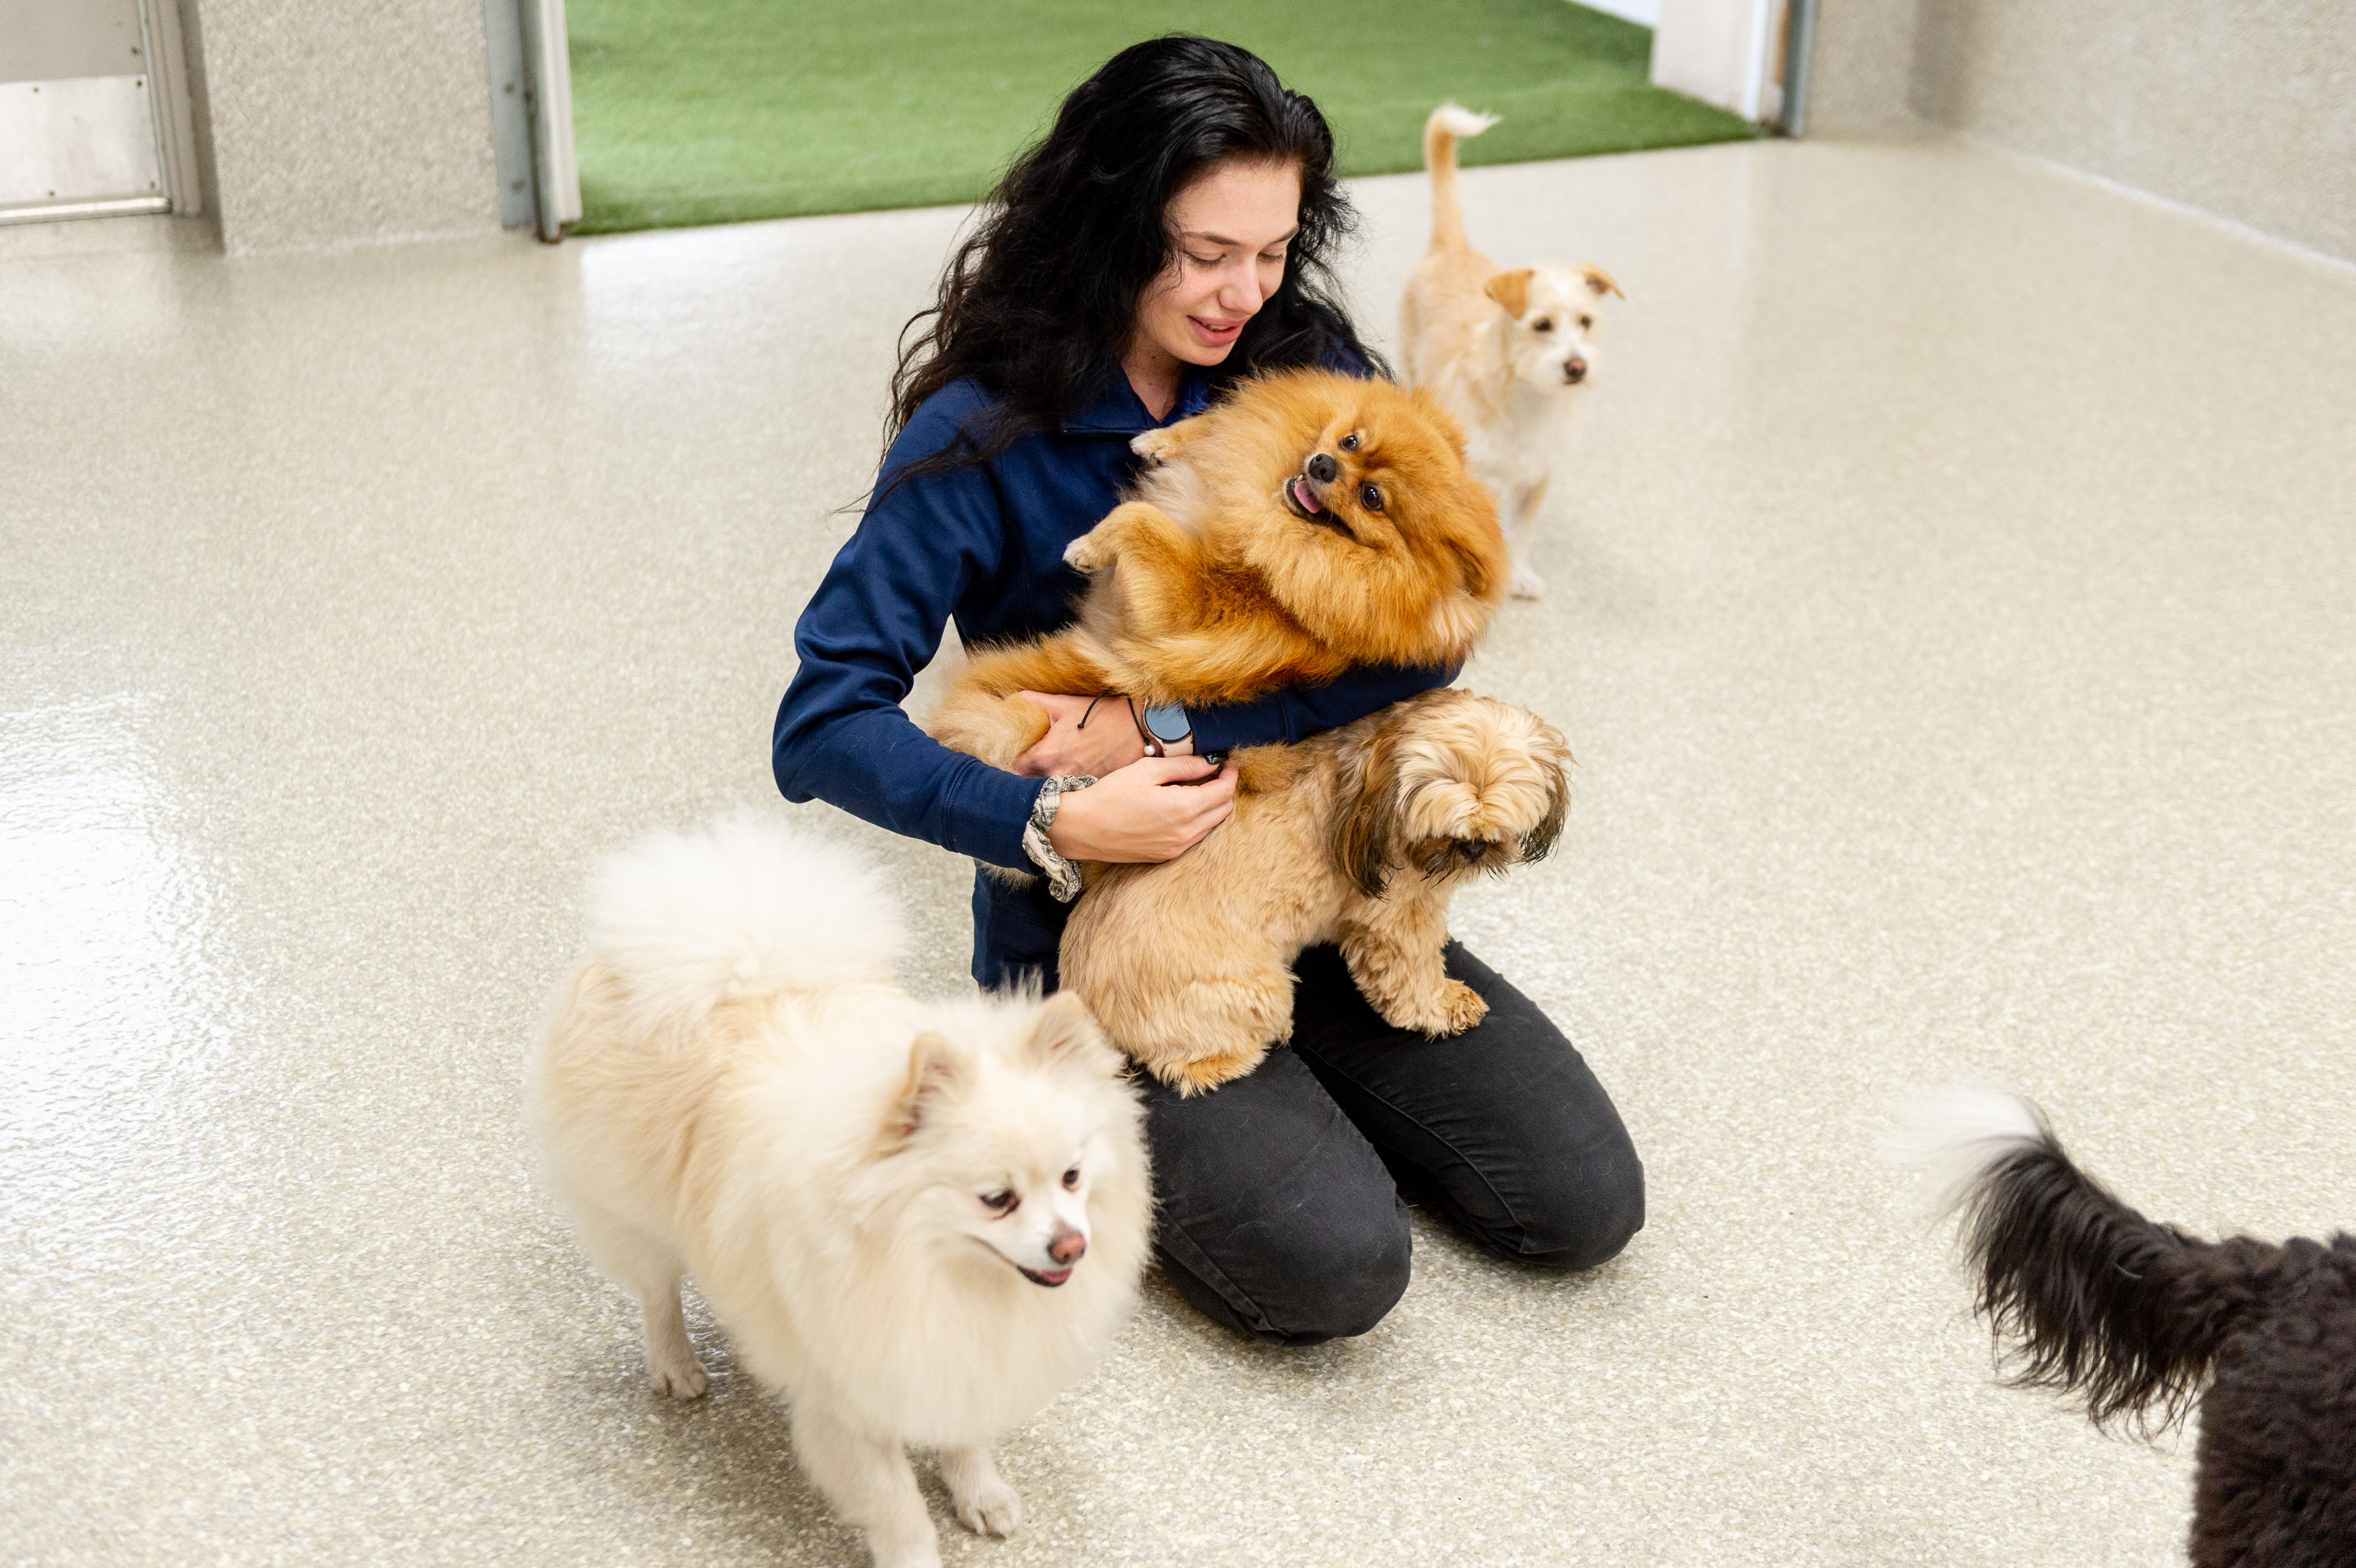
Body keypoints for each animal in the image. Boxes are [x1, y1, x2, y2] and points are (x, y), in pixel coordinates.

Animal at [535, 820, 1159, 1565]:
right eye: (996, 1198)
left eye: (1072, 1176)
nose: (1072, 1245)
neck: (938, 1272)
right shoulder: (847, 1398)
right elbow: (897, 1507)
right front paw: (917, 1553)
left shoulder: (956, 1358)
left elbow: (966, 1437)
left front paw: (980, 1492)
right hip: (634, 1207)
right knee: (658, 1291)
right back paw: (677, 1365)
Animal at [918, 361, 1508, 764]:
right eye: (1349, 439)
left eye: (1372, 498)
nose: (1320, 464)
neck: (1273, 514)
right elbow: (1222, 423)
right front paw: (1162, 439)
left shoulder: (1185, 608)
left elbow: (1140, 519)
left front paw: (1088, 547)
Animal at [1060, 693, 1573, 1094]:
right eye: (1447, 831)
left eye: (1496, 828)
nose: (1472, 850)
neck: (1375, 772)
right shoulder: (1394, 916)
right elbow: (1413, 976)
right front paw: (1445, 1003)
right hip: (1259, 991)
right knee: (1189, 1065)